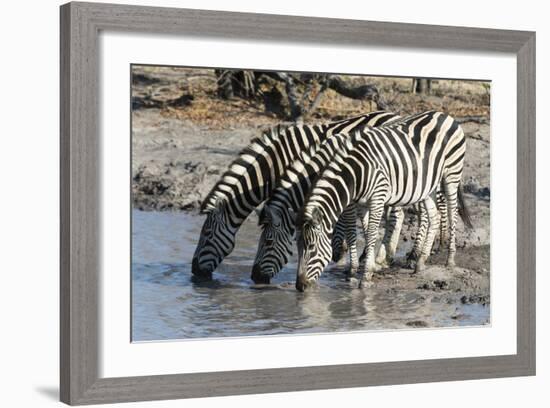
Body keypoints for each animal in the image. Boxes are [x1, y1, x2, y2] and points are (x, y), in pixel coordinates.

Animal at [193, 111, 402, 278]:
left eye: (207, 234)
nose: (194, 271)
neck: (275, 163)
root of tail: (394, 114)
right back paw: (384, 255)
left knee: (397, 214)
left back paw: (383, 256)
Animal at [298, 110, 474, 292]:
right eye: (297, 247)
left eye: (312, 248)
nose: (299, 286)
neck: (355, 173)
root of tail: (444, 114)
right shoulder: (360, 202)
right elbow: (358, 231)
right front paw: (364, 267)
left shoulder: (377, 196)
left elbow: (371, 232)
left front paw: (366, 275)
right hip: (428, 185)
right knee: (434, 217)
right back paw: (421, 261)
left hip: (452, 173)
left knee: (452, 212)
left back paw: (450, 259)